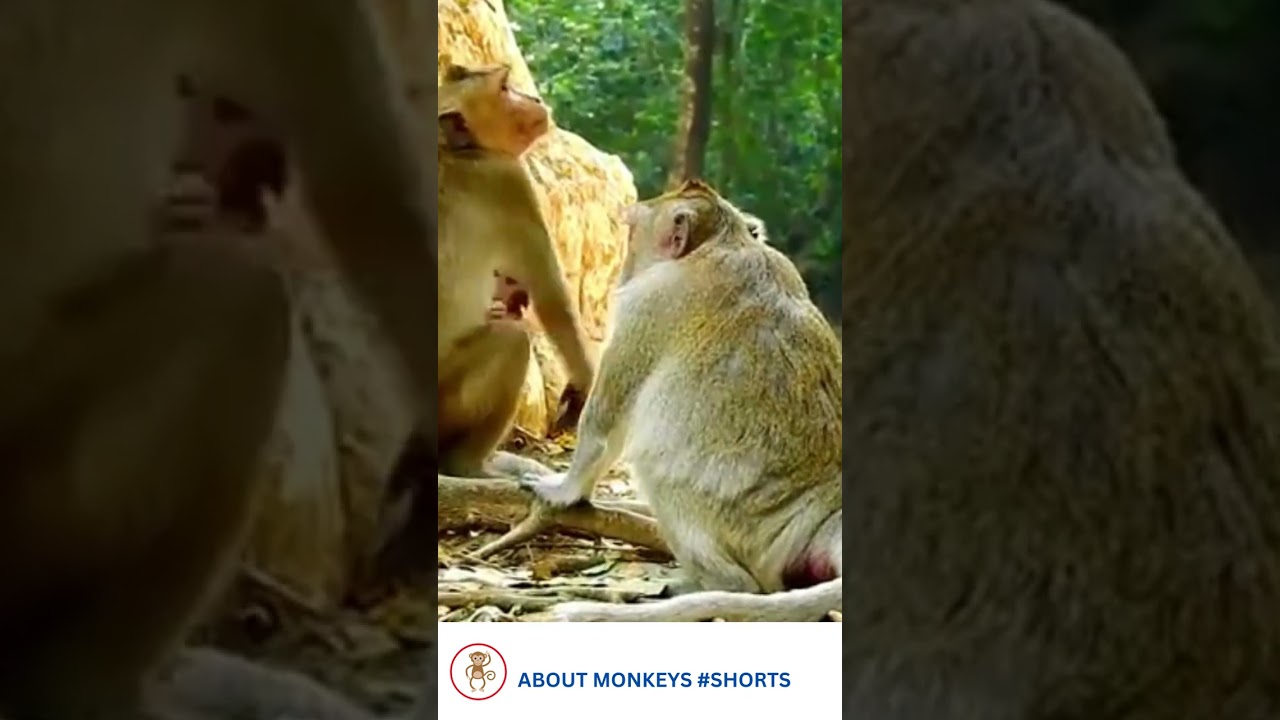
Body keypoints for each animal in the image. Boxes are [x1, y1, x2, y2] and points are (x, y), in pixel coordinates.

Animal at [436, 62, 595, 478]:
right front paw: (586, 386)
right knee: (511, 342)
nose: (534, 98)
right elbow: (553, 298)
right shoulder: (508, 182)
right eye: (505, 88)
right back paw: (468, 465)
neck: (459, 150)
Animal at [523, 180, 842, 623]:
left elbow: (603, 424)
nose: (623, 271)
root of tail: (825, 514)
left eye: (632, 232)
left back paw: (715, 586)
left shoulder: (647, 305)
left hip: (739, 528)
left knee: (657, 468)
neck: (727, 241)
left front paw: (563, 489)